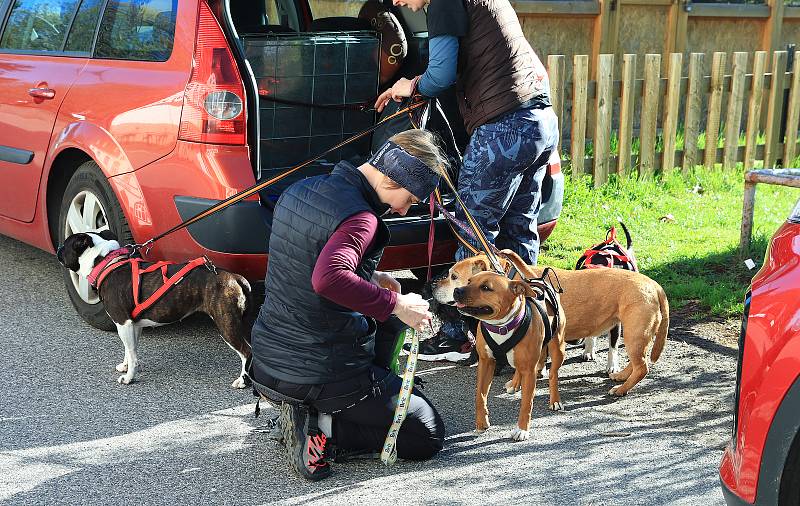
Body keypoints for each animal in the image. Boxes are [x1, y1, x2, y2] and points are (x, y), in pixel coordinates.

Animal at [58, 231, 253, 386]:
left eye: (66, 244)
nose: (58, 248)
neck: (105, 263)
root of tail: (235, 277)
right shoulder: (133, 325)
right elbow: (130, 350)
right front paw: (126, 366)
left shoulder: (123, 323)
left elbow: (132, 353)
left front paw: (129, 378)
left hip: (226, 324)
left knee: (246, 351)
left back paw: (242, 381)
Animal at [432, 251, 668, 398]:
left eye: (454, 276)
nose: (433, 286)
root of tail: (654, 285)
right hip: (634, 335)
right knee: (637, 363)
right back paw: (621, 375)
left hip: (634, 334)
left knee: (642, 367)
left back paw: (621, 389)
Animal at [450, 270, 568, 440]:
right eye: (469, 281)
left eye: (486, 287)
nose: (457, 290)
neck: (501, 326)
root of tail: (540, 279)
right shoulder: (486, 363)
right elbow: (480, 395)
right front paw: (482, 423)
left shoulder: (530, 371)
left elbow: (526, 403)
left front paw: (522, 430)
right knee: (518, 367)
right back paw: (514, 383)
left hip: (558, 347)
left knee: (553, 373)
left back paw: (555, 400)